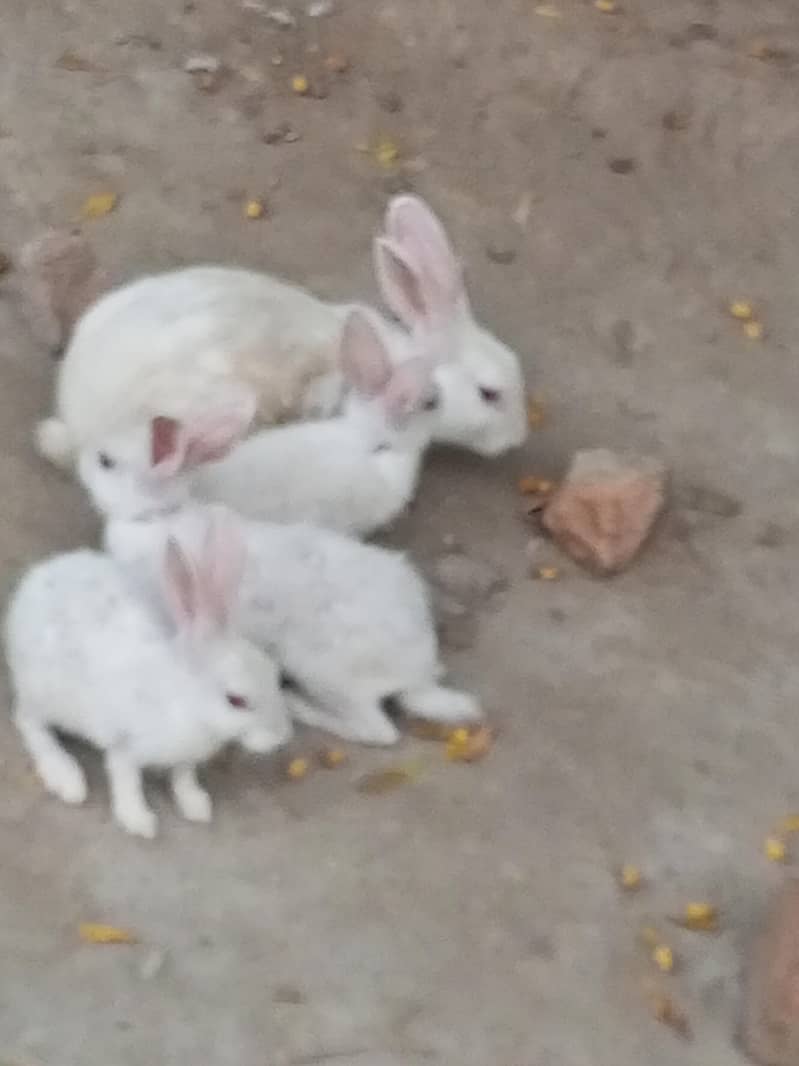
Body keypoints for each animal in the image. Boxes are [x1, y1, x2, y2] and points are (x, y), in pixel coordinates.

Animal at [3, 509, 292, 838]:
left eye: (275, 674)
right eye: (236, 700)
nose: (282, 736)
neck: (187, 699)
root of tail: (34, 582)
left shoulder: (185, 758)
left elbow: (183, 777)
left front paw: (196, 805)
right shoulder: (125, 744)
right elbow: (126, 779)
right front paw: (139, 820)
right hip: (45, 695)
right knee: (28, 722)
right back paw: (65, 775)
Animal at [77, 412, 484, 747]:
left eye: (106, 461)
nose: (83, 455)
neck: (157, 515)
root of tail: (416, 673)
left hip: (327, 673)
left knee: (378, 731)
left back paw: (301, 706)